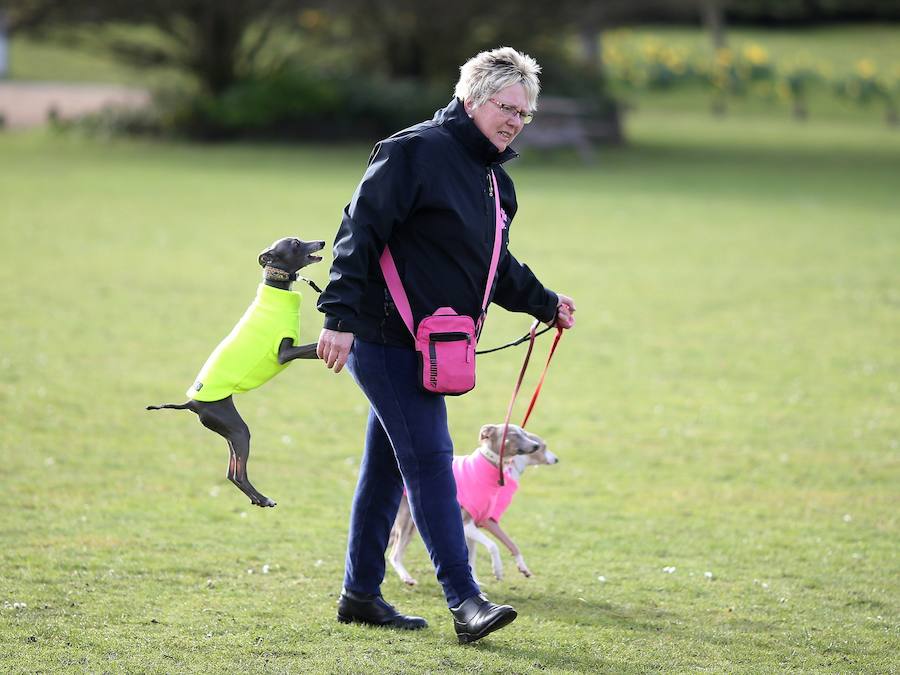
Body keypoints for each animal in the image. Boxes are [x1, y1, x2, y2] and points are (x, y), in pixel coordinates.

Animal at [149, 238, 326, 508]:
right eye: (296, 243)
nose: (322, 242)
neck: (276, 291)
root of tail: (191, 403)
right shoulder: (285, 353)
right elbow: (314, 347)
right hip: (239, 430)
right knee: (238, 474)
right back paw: (263, 499)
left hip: (231, 434)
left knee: (231, 471)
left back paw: (257, 499)